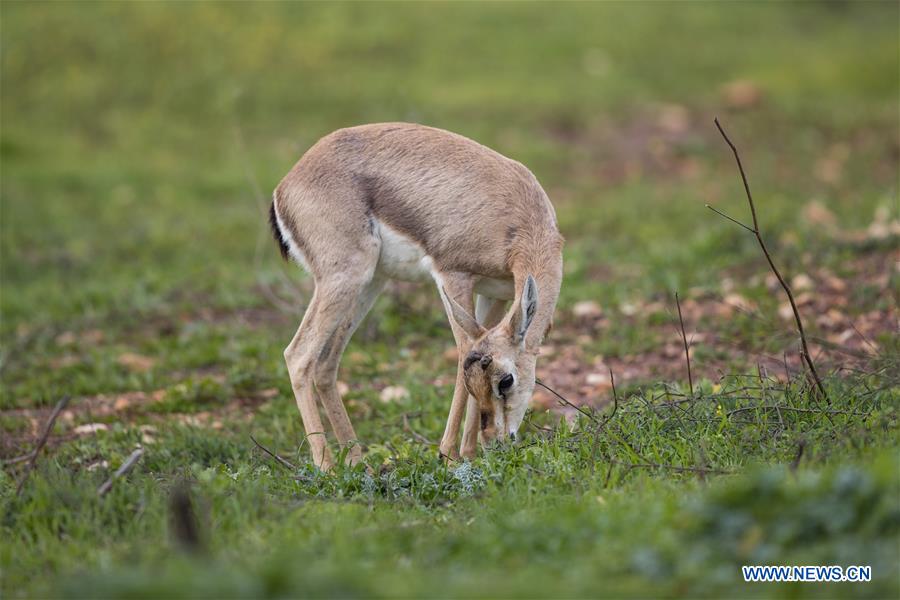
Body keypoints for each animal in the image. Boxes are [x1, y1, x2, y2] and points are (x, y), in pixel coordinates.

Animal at [270, 123, 563, 469]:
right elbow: (463, 351)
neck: (517, 214)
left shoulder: (496, 295)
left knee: (326, 363)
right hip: (344, 279)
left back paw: (358, 462)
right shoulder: (452, 276)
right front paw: (449, 455)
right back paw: (327, 466)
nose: (496, 443)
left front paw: (468, 453)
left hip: (371, 283)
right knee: (299, 355)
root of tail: (288, 183)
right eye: (506, 380)